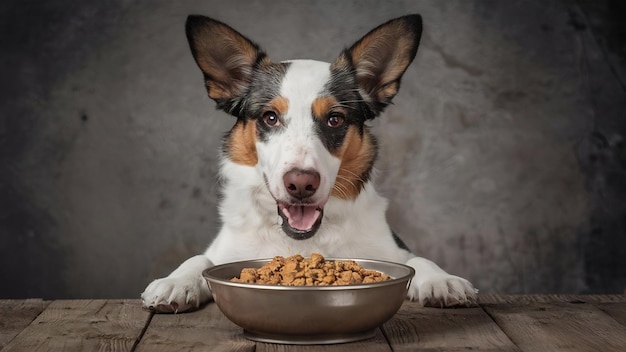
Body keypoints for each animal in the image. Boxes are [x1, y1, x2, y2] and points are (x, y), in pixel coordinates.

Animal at [140, 13, 472, 314]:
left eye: (335, 119)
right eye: (270, 117)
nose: (301, 183)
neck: (301, 240)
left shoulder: (392, 248)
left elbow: (417, 258)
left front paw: (441, 279)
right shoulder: (225, 250)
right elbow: (200, 258)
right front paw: (176, 281)